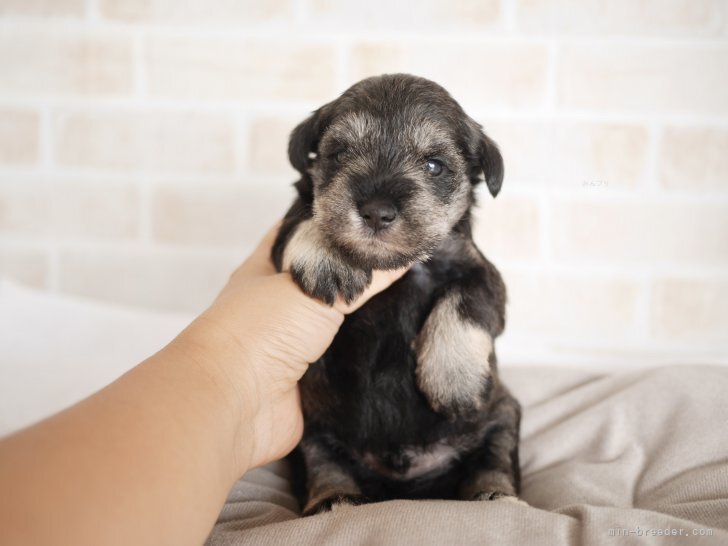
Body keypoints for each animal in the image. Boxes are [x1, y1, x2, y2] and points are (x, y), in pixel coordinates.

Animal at [270, 74, 520, 512]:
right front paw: (326, 257)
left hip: (503, 414)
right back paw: (335, 499)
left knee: (494, 458)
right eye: (338, 153)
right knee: (323, 464)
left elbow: (465, 302)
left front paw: (453, 379)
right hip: (308, 430)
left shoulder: (484, 276)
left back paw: (495, 496)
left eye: (434, 165)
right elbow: (303, 215)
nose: (376, 210)